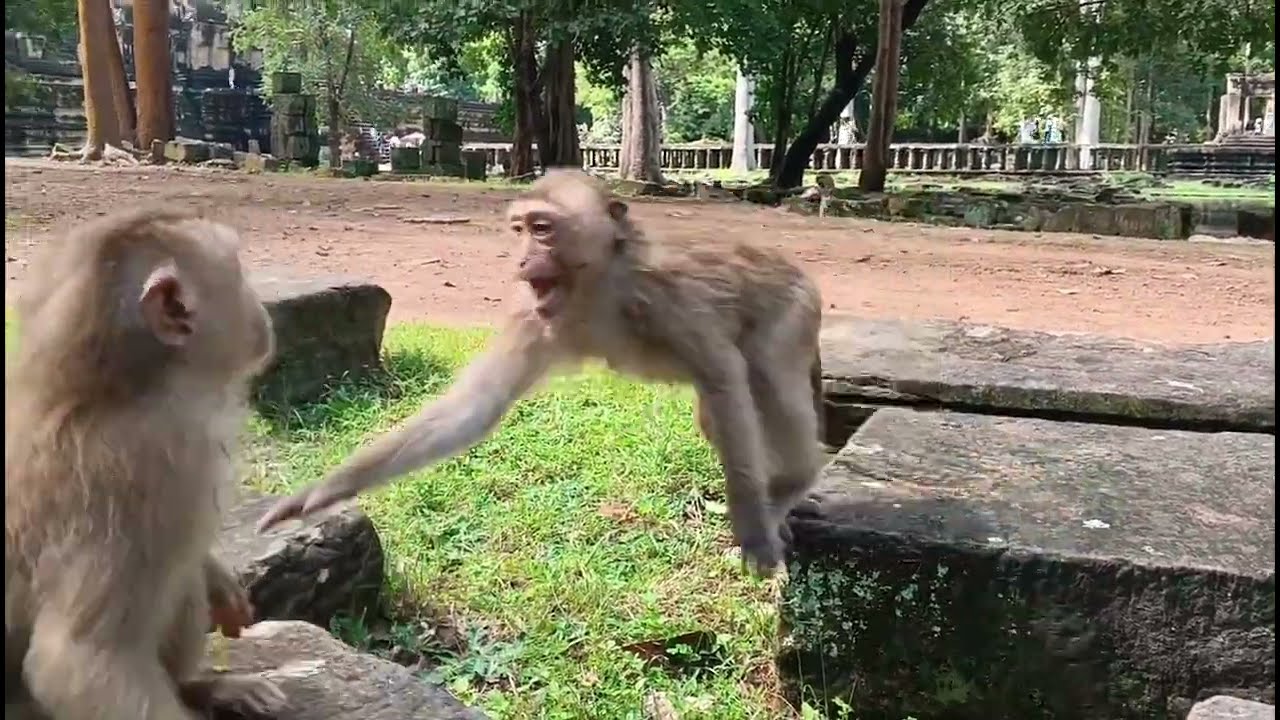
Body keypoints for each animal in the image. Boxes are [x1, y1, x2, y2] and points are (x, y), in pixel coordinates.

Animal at [4, 208, 288, 719]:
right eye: (238, 274)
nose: (262, 311)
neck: (110, 392)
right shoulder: (150, 465)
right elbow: (77, 663)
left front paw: (219, 578)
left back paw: (202, 685)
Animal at [256, 169, 825, 578]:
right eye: (520, 230)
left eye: (543, 229)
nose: (522, 261)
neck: (596, 288)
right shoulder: (533, 315)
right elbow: (474, 408)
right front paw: (318, 496)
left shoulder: (664, 294)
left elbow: (722, 372)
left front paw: (754, 538)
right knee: (720, 415)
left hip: (793, 311)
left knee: (763, 379)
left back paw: (790, 486)